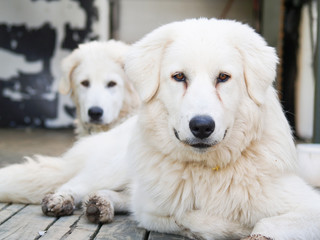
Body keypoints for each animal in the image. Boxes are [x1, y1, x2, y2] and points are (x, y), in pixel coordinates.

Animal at [0, 19, 320, 240]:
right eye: (178, 77)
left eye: (223, 78)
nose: (202, 126)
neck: (210, 169)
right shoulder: (156, 209)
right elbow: (195, 218)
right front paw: (231, 227)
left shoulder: (309, 207)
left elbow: (267, 223)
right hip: (114, 165)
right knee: (78, 182)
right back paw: (62, 200)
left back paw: (101, 204)